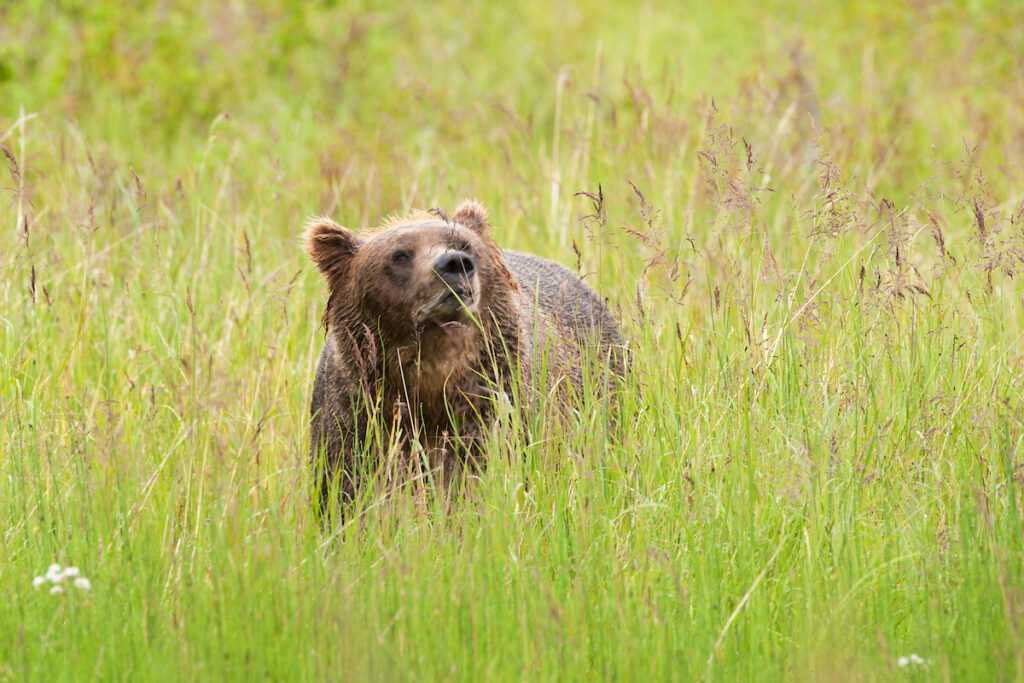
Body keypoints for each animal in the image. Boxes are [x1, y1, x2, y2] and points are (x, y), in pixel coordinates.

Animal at [304, 200, 626, 512]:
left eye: (464, 244)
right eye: (400, 255)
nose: (454, 263)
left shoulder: (497, 402)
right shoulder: (356, 416)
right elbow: (349, 490)